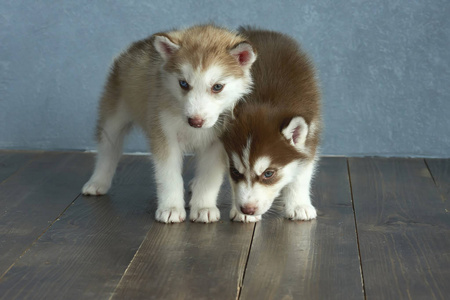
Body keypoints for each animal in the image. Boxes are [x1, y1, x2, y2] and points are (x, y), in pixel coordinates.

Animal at [82, 24, 255, 223]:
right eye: (183, 84)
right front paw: (171, 208)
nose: (195, 121)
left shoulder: (217, 143)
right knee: (108, 149)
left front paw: (204, 207)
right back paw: (97, 182)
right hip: (114, 116)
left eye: (217, 87)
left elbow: (209, 177)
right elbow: (168, 176)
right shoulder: (164, 135)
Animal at [221, 28, 320, 223]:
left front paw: (298, 205)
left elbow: (301, 175)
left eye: (268, 174)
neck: (265, 102)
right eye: (235, 172)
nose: (247, 209)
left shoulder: (310, 136)